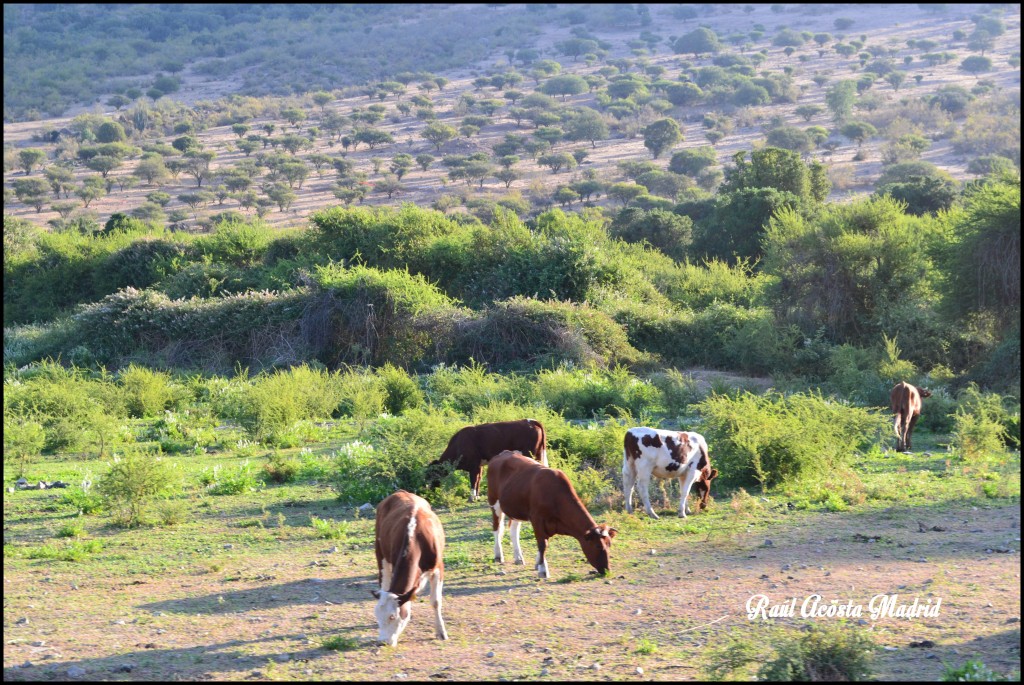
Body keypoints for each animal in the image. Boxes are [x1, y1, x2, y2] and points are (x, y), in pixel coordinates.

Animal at [370, 489, 446, 643]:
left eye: (392, 616)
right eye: (377, 615)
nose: (382, 641)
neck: (417, 538)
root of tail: (400, 492)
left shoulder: (438, 568)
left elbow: (435, 601)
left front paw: (441, 631)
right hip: (380, 553)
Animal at [481, 448, 614, 577]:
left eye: (609, 545)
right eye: (598, 546)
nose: (607, 570)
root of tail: (503, 453)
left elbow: (543, 544)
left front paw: (538, 563)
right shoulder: (537, 519)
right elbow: (542, 544)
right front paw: (543, 569)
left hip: (515, 508)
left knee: (514, 530)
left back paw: (518, 557)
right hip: (494, 502)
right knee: (497, 528)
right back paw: (498, 555)